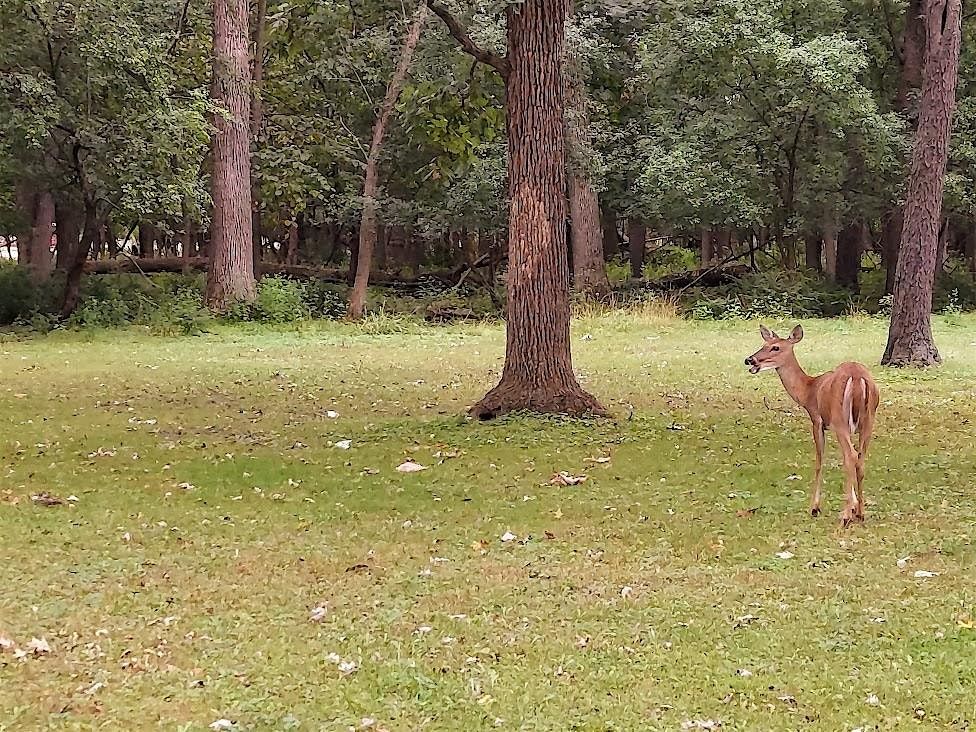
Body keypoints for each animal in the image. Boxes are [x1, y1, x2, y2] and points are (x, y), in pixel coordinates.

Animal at [744, 326, 880, 528]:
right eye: (764, 344)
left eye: (775, 347)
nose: (750, 359)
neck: (808, 390)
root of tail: (858, 379)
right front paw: (854, 505)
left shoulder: (817, 420)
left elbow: (819, 461)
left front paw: (814, 508)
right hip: (868, 420)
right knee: (859, 458)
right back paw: (860, 513)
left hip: (840, 420)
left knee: (850, 456)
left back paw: (846, 516)